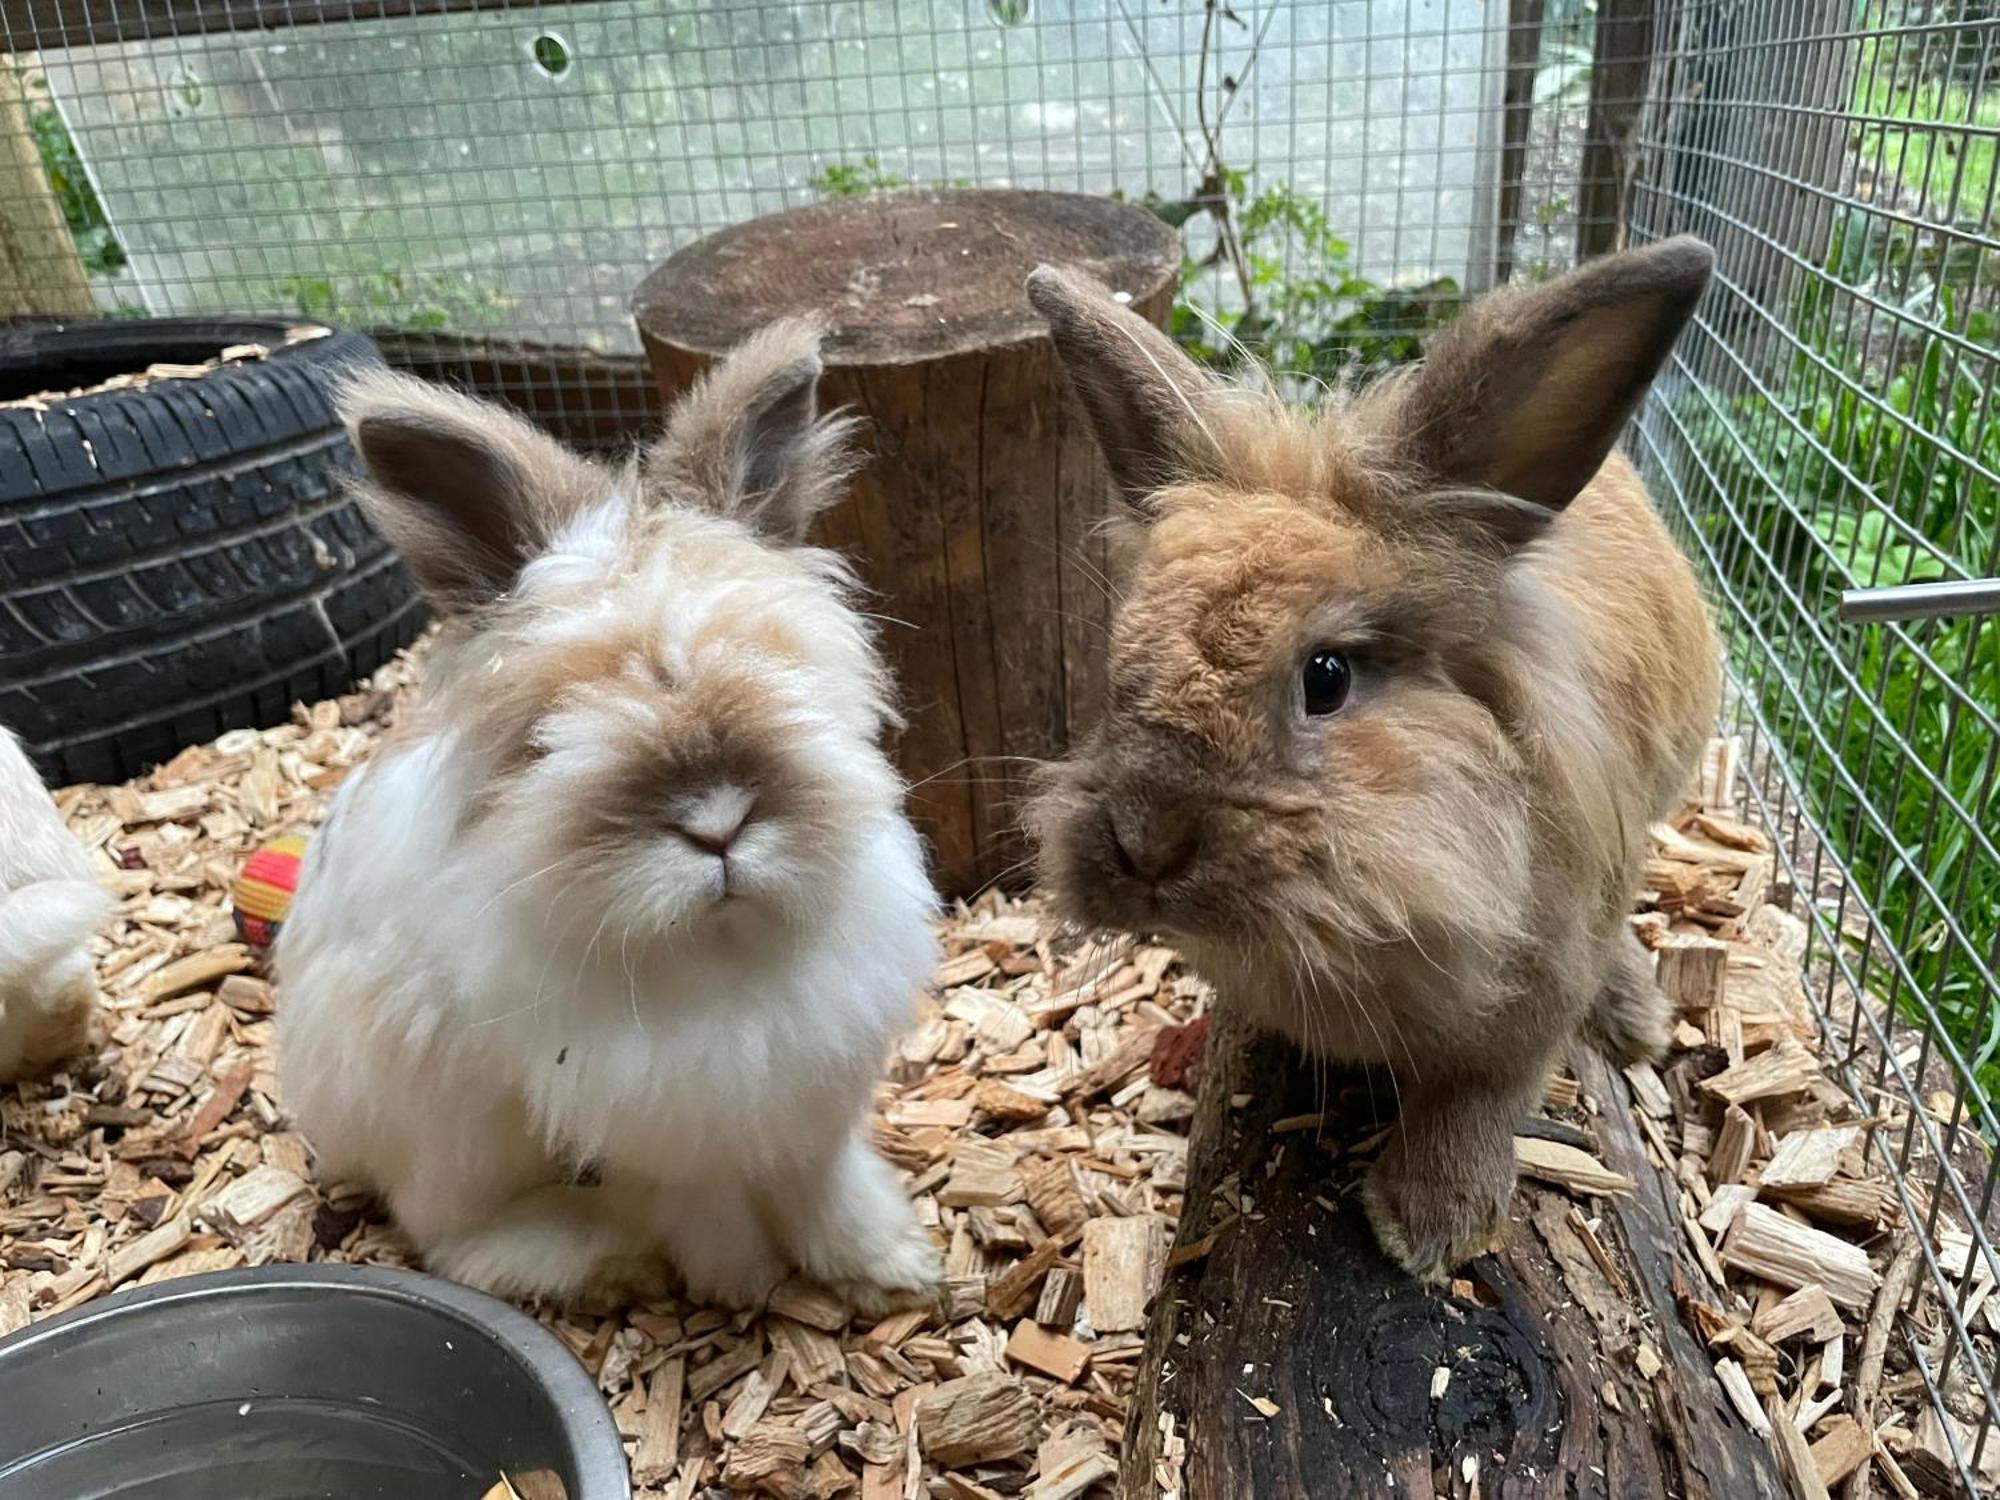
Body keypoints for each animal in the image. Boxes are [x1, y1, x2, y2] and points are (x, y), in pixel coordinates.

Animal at [276, 324, 952, 1312]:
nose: (717, 823)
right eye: (557, 720)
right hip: (443, 1131)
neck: (720, 951)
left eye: (781, 666)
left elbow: (825, 1180)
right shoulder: (648, 1123)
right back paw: (607, 1263)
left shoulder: (809, 1086)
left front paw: (892, 1268)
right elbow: (701, 1205)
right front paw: (740, 1285)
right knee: (447, 1236)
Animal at [1032, 241, 1720, 1288]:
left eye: (1327, 677)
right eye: (1120, 666)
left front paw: (1426, 1231)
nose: (1144, 844)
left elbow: (1474, 1104)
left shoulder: (1528, 1004)